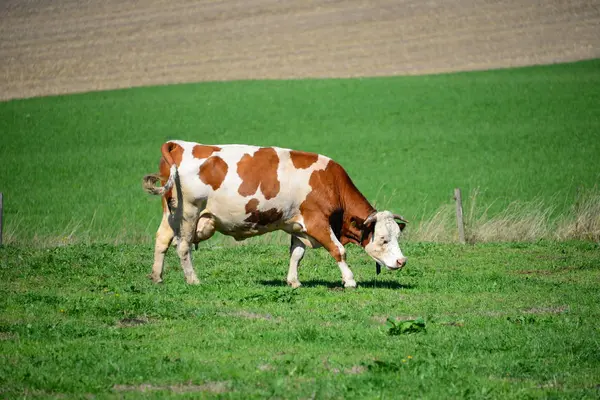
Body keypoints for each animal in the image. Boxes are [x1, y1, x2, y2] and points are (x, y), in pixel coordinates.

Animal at [143, 141, 410, 288]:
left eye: (398, 236)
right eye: (383, 239)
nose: (402, 261)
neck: (330, 183)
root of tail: (180, 144)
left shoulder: (297, 225)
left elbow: (296, 255)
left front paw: (293, 281)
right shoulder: (316, 222)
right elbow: (338, 250)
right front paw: (350, 280)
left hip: (171, 213)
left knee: (162, 240)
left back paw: (157, 277)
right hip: (189, 212)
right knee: (183, 246)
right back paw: (193, 279)